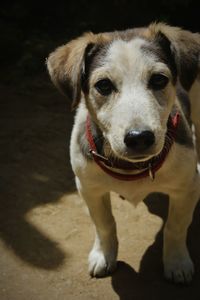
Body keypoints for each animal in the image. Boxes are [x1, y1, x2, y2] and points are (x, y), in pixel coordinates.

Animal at [46, 22, 200, 284]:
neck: (131, 167)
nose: (139, 137)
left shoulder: (186, 189)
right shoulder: (88, 187)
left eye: (159, 80)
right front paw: (104, 256)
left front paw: (176, 262)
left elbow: (176, 227)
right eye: (103, 85)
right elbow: (104, 223)